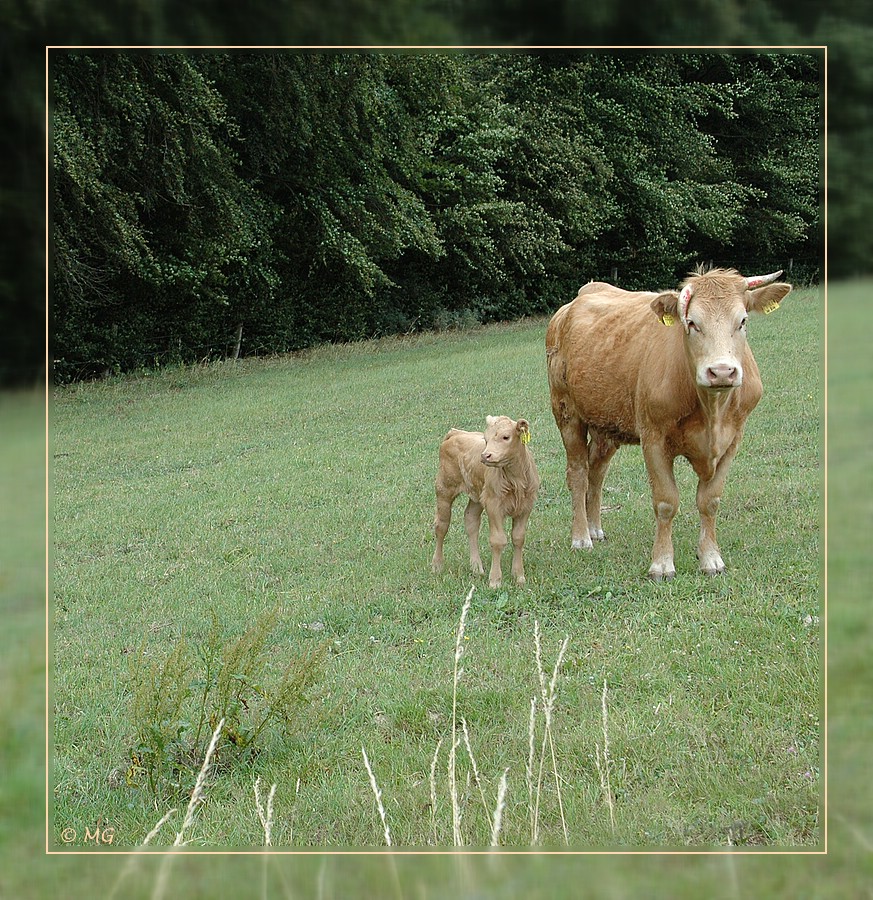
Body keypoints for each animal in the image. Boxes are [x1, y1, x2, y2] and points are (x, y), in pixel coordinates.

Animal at [430, 416, 540, 592]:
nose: (485, 455)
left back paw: (476, 567)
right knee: (441, 526)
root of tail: (456, 433)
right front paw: (495, 580)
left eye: (506, 437)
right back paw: (437, 565)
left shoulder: (526, 506)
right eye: (486, 439)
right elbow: (498, 540)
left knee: (471, 521)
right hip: (444, 489)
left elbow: (518, 538)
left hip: (477, 496)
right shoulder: (494, 505)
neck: (516, 479)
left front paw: (519, 576)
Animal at [544, 268, 792, 580]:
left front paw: (711, 558)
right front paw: (661, 564)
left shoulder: (733, 440)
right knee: (578, 472)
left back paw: (595, 528)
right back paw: (581, 537)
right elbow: (666, 502)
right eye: (692, 323)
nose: (722, 371)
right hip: (566, 412)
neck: (711, 411)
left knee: (596, 471)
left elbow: (710, 501)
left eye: (743, 321)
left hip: (606, 423)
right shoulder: (654, 438)